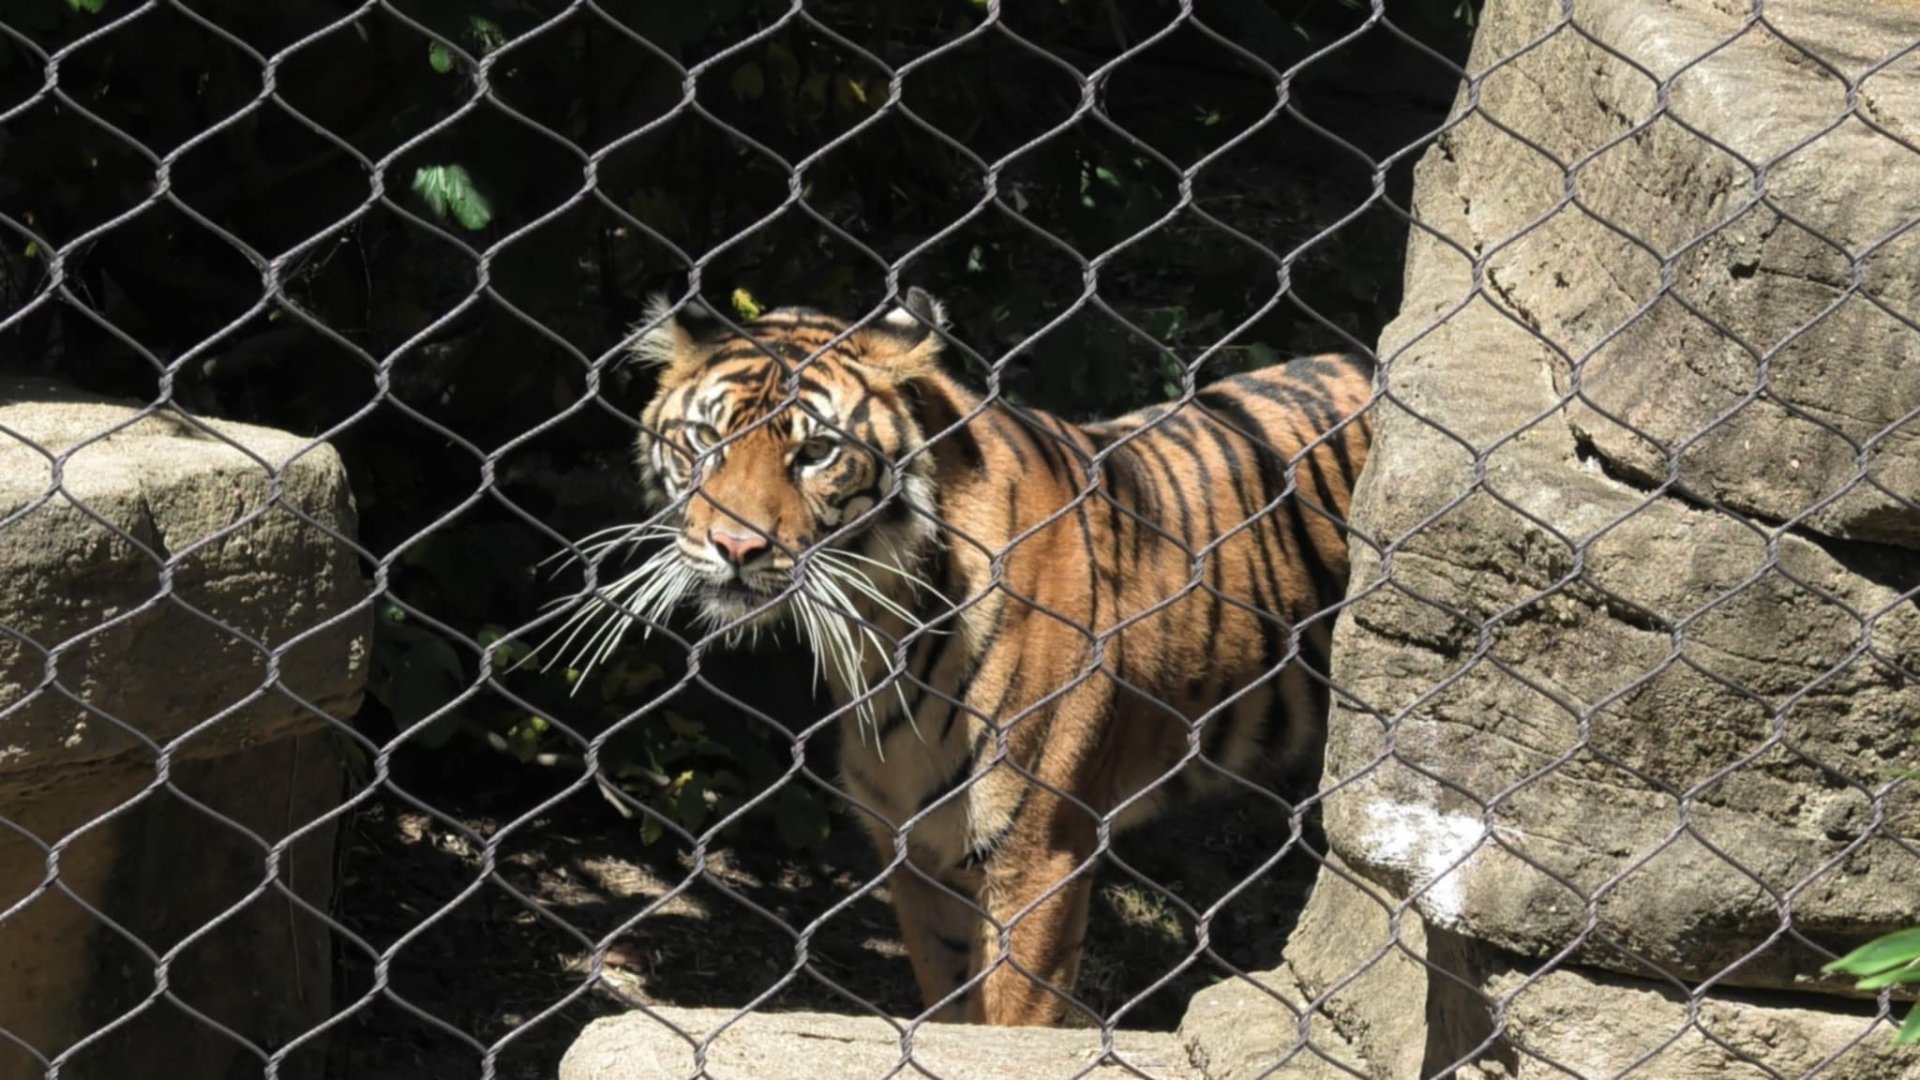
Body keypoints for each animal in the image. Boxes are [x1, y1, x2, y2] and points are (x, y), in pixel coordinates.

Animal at [550, 288, 1373, 1026]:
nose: (735, 546)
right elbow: (949, 1010)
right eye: (704, 441)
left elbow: (1009, 1022)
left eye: (814, 453)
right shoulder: (918, 853)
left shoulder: (1038, 857)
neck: (881, 629)